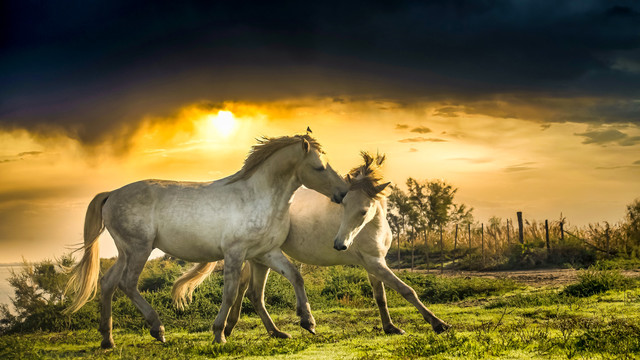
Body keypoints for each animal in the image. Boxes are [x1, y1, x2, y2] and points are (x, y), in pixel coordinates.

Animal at [63, 134, 350, 348]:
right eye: (319, 167)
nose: (343, 193)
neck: (258, 196)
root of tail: (111, 194)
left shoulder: (266, 253)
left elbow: (291, 278)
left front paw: (303, 324)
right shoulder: (235, 254)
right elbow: (231, 293)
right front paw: (219, 334)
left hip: (125, 252)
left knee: (108, 283)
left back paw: (107, 340)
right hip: (139, 249)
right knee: (127, 284)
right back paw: (158, 329)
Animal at [175, 153, 450, 338]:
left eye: (363, 211)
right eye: (342, 205)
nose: (340, 245)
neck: (373, 226)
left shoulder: (375, 263)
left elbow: (380, 296)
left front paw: (390, 327)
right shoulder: (374, 263)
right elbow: (406, 290)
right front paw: (438, 324)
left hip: (256, 259)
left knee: (247, 291)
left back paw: (243, 328)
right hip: (257, 258)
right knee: (251, 292)